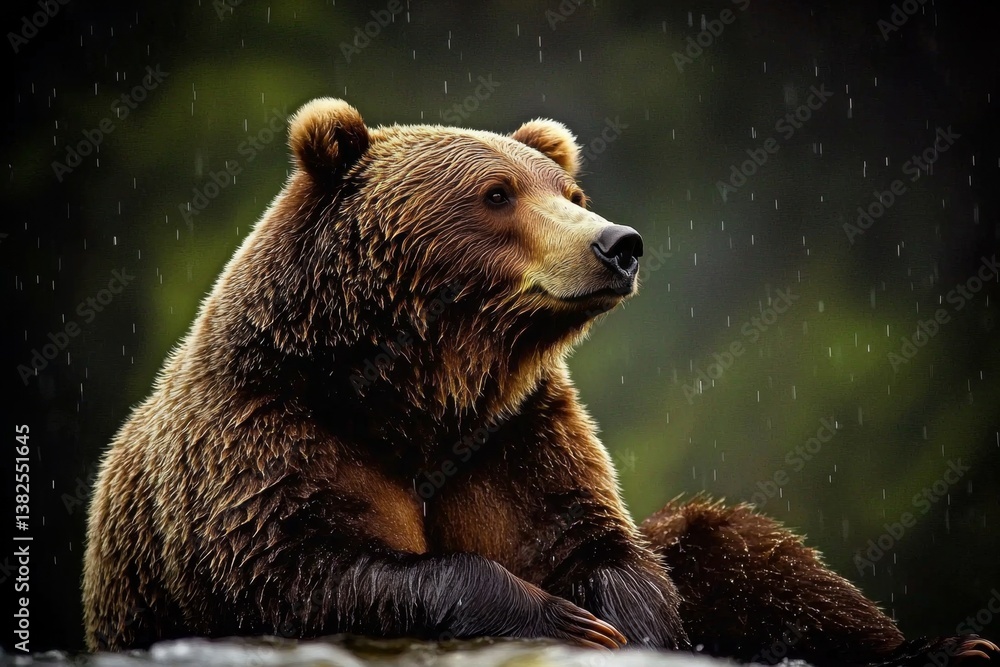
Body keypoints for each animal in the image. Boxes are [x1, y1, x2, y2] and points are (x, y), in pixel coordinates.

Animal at [83, 98, 997, 665]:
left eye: (571, 189)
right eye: (497, 192)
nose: (619, 243)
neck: (416, 392)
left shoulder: (516, 433)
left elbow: (596, 540)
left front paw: (621, 621)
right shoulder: (269, 439)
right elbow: (310, 571)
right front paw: (566, 619)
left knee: (745, 545)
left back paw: (948, 644)